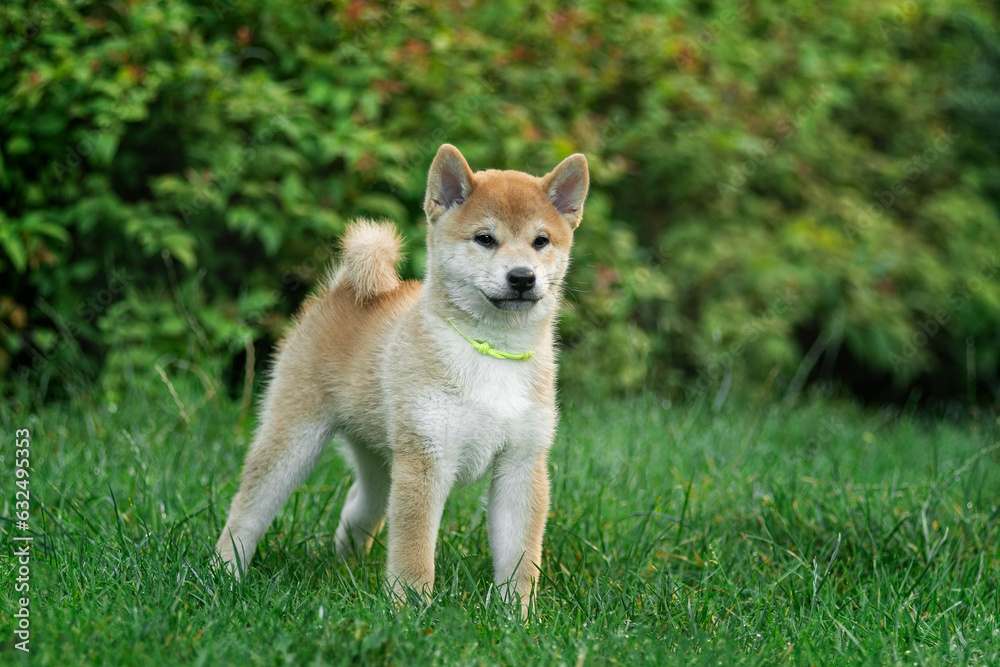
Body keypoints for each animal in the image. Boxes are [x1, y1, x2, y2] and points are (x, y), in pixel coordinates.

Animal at [212, 142, 584, 616]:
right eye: (485, 238)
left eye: (541, 241)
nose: (522, 277)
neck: (490, 350)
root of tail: (342, 290)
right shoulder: (425, 460)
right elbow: (413, 551)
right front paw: (409, 611)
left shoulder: (521, 463)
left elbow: (520, 556)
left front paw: (515, 615)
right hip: (293, 441)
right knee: (246, 512)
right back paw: (223, 573)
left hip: (380, 462)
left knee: (358, 509)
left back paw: (346, 568)